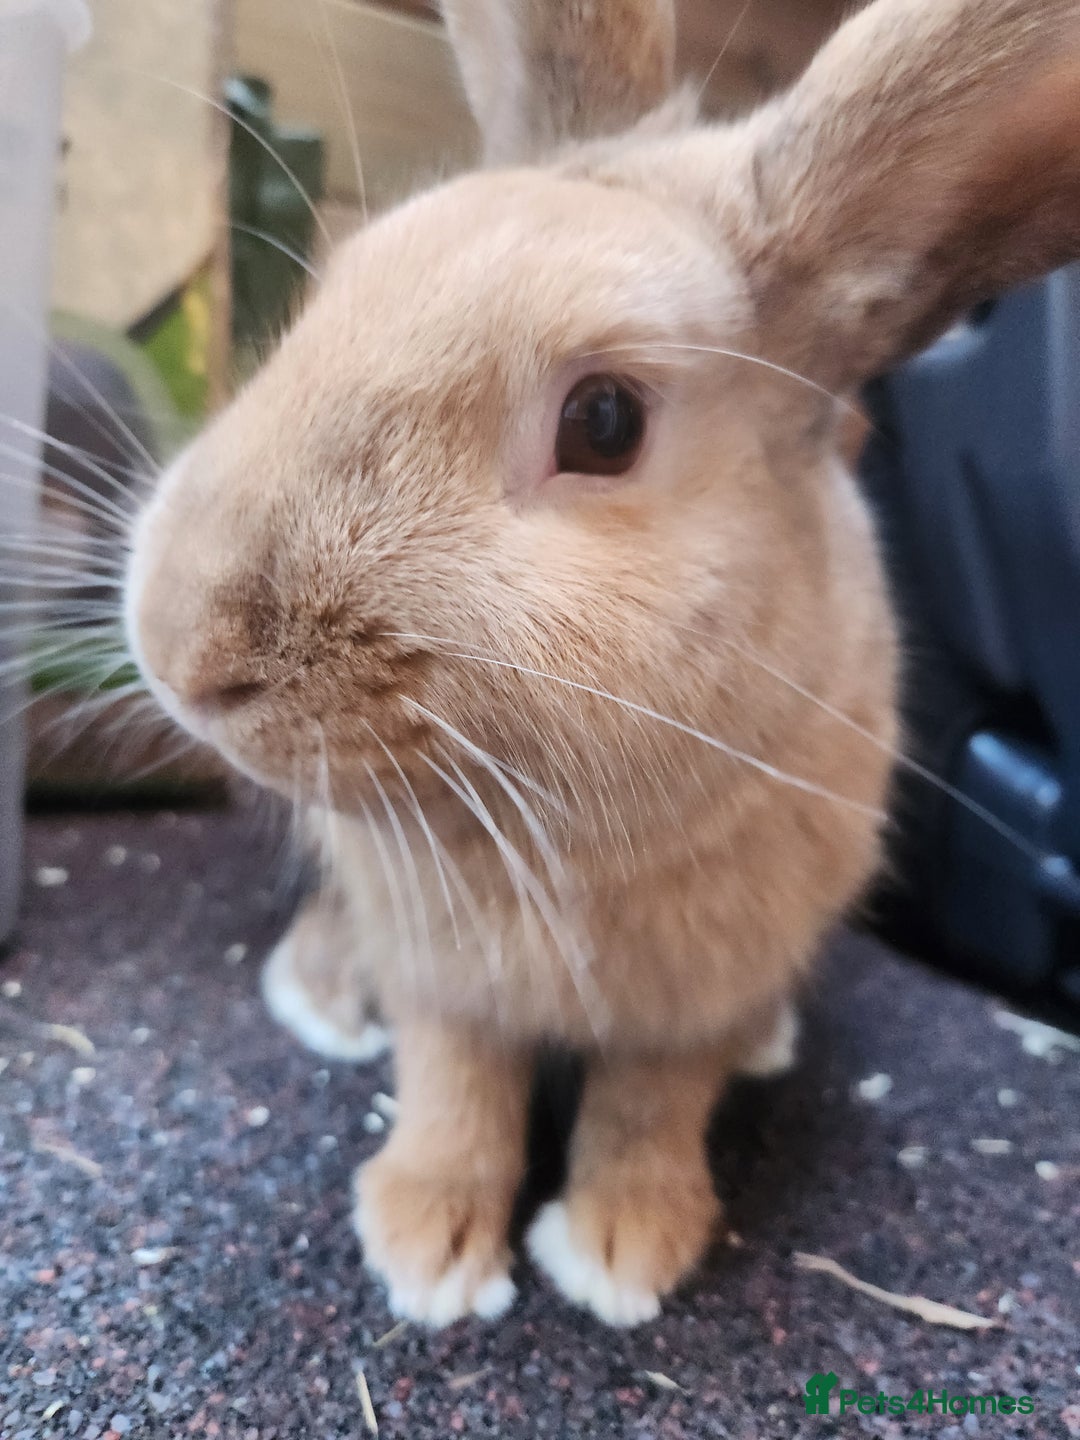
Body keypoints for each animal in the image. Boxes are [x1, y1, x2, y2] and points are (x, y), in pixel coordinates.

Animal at [124, 0, 1080, 1326]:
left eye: (605, 421)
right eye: (338, 294)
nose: (182, 651)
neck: (557, 830)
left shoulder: (692, 1001)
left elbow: (650, 1106)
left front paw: (625, 1249)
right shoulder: (440, 975)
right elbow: (454, 1084)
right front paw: (425, 1247)